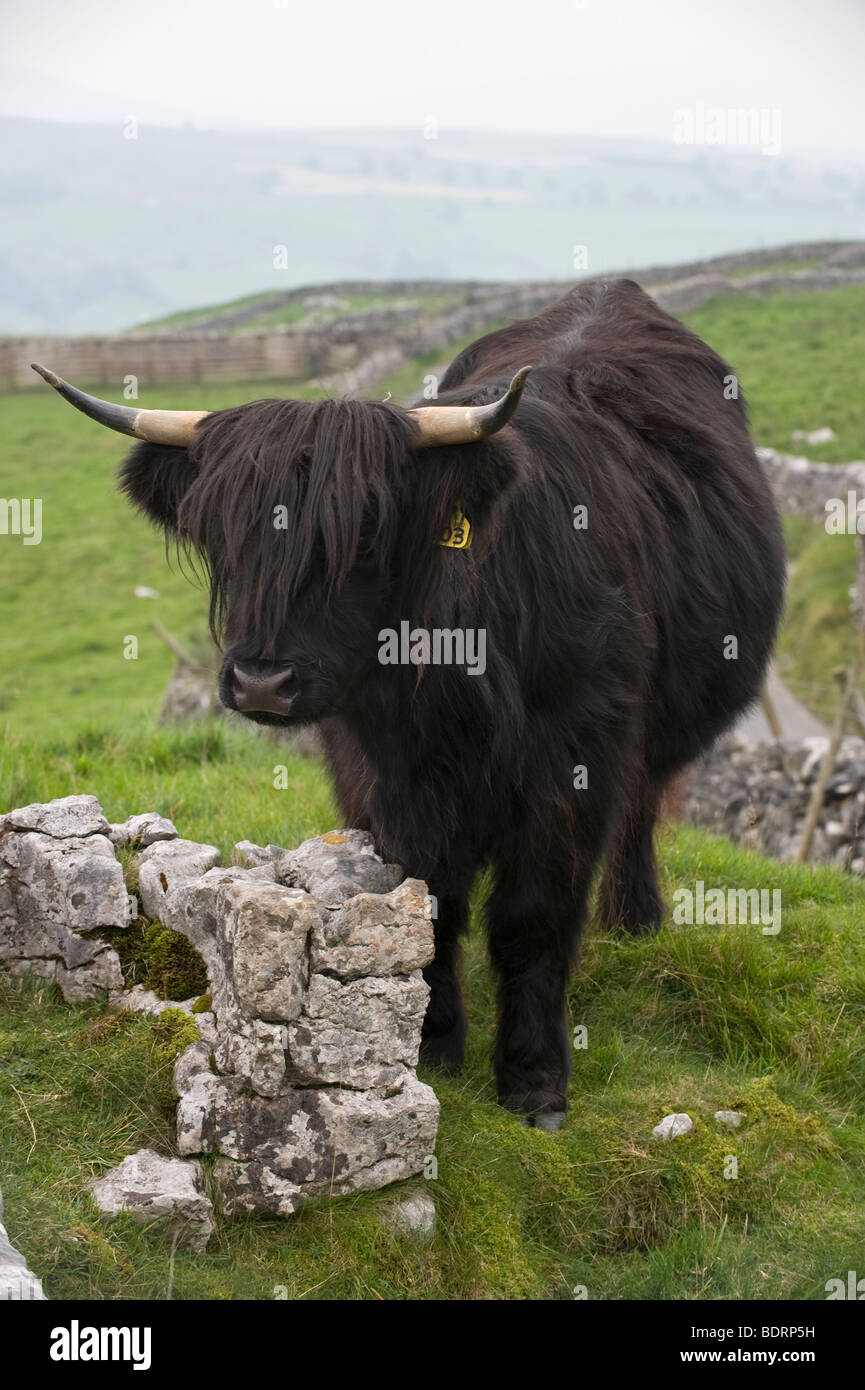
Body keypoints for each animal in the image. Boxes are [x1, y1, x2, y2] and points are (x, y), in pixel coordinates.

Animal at [33, 279, 789, 1128]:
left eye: (364, 532)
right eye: (222, 533)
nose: (260, 683)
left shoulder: (572, 765)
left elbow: (533, 917)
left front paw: (533, 1082)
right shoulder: (379, 777)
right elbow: (428, 906)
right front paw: (430, 1042)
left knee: (642, 809)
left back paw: (633, 920)